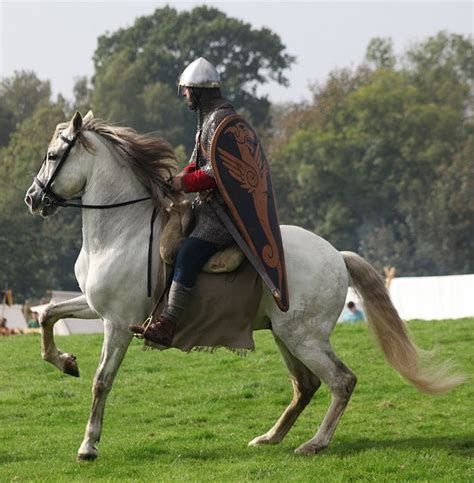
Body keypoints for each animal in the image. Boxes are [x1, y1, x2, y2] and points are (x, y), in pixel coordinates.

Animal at [24, 111, 462, 464]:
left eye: (52, 156)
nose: (32, 199)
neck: (121, 230)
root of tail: (337, 256)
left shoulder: (117, 323)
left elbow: (102, 381)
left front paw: (88, 446)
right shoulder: (95, 307)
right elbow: (46, 315)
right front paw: (64, 361)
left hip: (304, 338)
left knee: (341, 381)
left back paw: (315, 444)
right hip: (286, 335)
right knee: (306, 385)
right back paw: (270, 437)